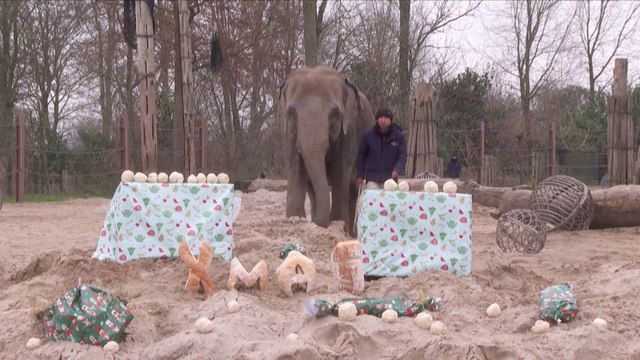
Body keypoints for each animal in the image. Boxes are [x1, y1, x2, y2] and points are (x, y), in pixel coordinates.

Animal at [278, 66, 376, 236]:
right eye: (291, 112)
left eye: (335, 113)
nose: (317, 225)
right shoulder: (289, 136)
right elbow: (296, 172)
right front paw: (295, 220)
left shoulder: (348, 133)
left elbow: (339, 174)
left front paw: (336, 226)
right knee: (312, 190)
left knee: (352, 189)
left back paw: (350, 233)